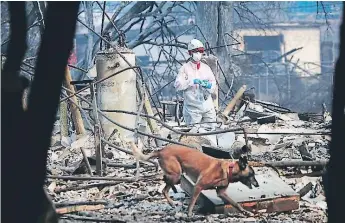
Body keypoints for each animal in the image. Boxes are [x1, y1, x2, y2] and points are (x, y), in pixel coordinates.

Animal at [130, 142, 258, 217]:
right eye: (252, 174)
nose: (257, 185)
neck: (228, 170)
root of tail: (161, 150)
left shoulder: (222, 193)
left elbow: (235, 203)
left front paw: (245, 212)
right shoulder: (198, 186)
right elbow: (192, 202)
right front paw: (189, 214)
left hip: (175, 174)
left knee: (165, 181)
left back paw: (173, 194)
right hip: (176, 174)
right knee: (164, 189)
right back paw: (172, 200)